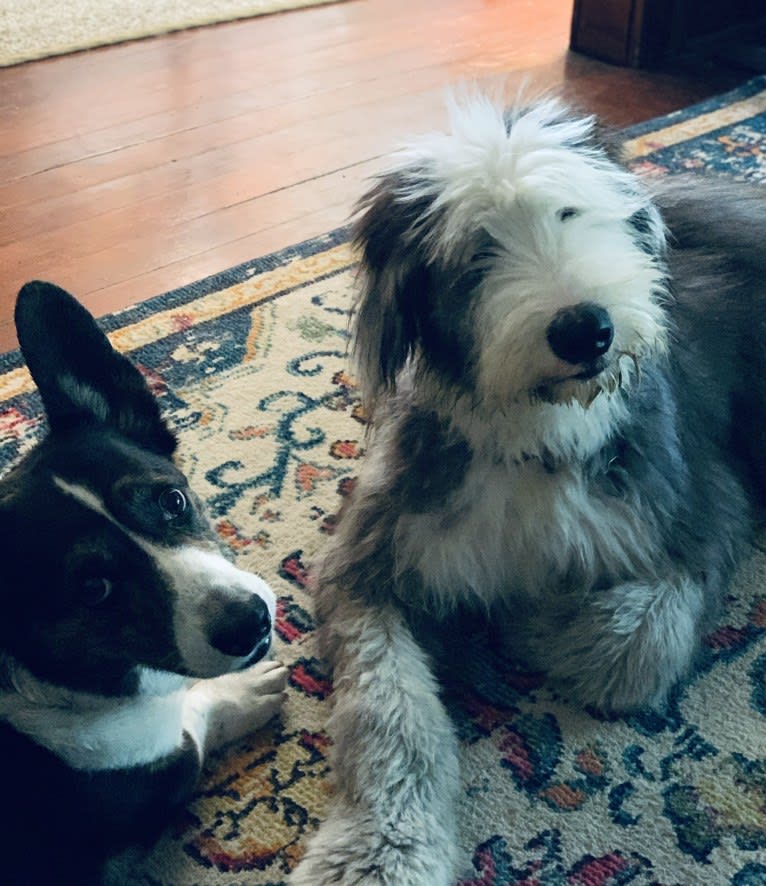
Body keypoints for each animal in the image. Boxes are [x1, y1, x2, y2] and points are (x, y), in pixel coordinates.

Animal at [0, 284, 288, 886]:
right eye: (93, 588)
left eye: (172, 500)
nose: (251, 623)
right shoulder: (159, 776)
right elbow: (197, 716)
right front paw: (247, 692)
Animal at [292, 93, 766, 884]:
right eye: (477, 253)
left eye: (570, 212)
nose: (585, 329)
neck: (538, 430)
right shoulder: (364, 566)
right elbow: (388, 715)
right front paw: (379, 852)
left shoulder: (701, 516)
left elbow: (625, 646)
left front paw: (522, 619)